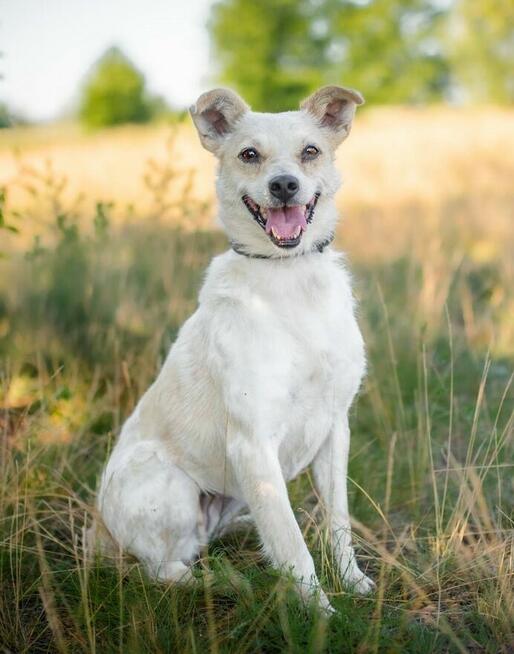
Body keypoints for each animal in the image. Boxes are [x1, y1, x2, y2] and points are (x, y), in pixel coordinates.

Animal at [94, 84, 372, 612]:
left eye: (310, 151)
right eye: (249, 155)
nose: (284, 185)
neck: (289, 276)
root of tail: (100, 533)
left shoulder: (335, 427)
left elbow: (338, 522)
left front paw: (353, 581)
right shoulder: (253, 443)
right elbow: (291, 541)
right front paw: (321, 613)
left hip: (231, 495)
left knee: (213, 539)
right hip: (168, 482)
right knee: (164, 570)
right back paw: (230, 584)